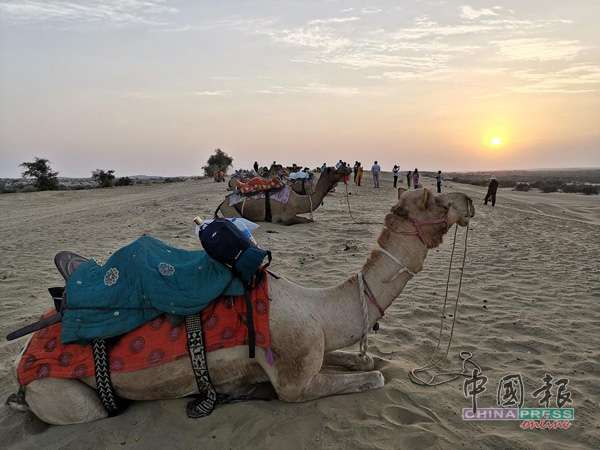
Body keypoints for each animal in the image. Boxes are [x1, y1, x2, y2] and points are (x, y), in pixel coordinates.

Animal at [8, 187, 474, 426]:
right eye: (434, 199)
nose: (470, 202)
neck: (317, 307)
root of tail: (21, 364)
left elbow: (368, 360)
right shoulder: (294, 380)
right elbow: (373, 376)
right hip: (60, 395)